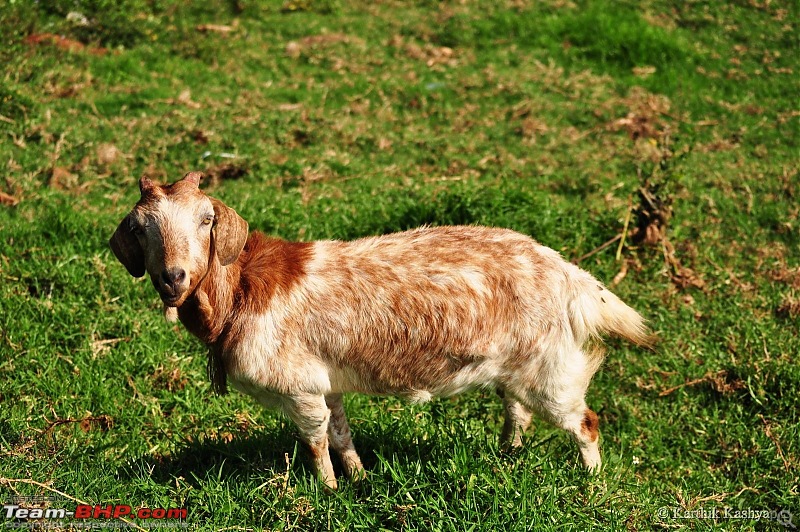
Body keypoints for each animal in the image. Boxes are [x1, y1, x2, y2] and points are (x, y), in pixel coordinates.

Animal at [111, 172, 648, 488]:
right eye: (139, 228)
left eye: (206, 220)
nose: (173, 276)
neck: (240, 290)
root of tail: (565, 271)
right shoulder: (324, 380)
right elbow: (340, 431)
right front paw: (359, 479)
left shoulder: (298, 385)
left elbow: (314, 439)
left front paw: (326, 491)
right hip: (518, 365)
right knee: (518, 410)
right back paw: (506, 457)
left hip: (551, 363)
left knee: (584, 420)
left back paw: (591, 484)